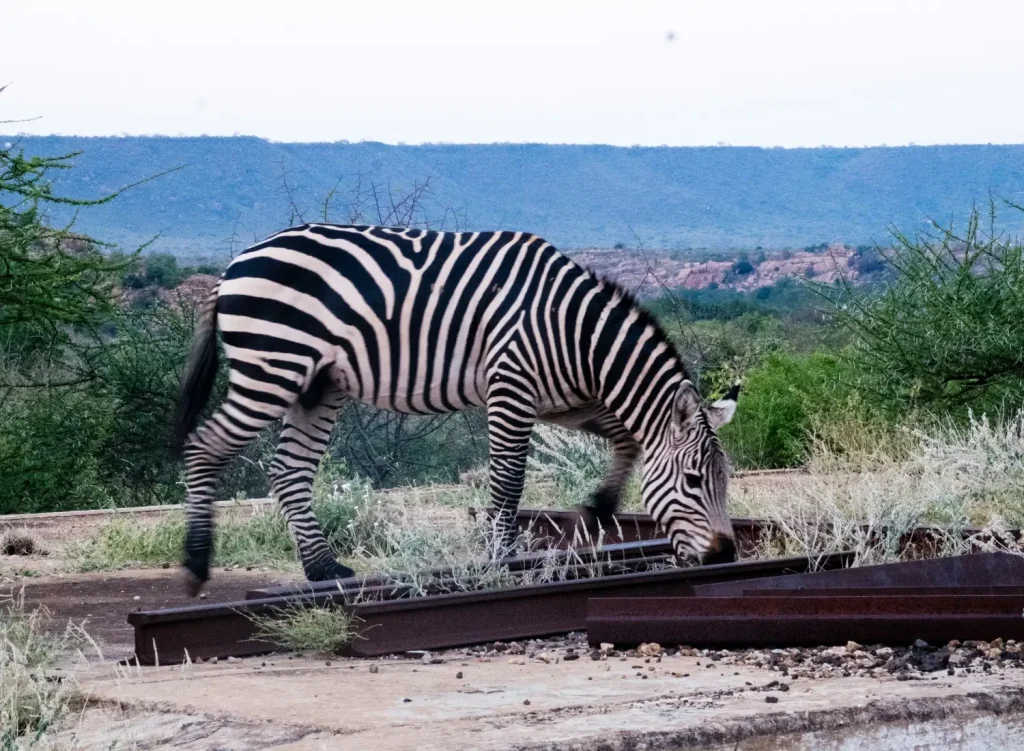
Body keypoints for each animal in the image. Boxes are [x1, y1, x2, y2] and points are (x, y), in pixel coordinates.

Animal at [172, 225, 741, 594]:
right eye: (694, 480)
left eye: (725, 480)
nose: (726, 555)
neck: (577, 336)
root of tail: (230, 269)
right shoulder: (512, 388)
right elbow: (509, 481)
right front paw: (502, 562)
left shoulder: (567, 403)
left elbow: (625, 438)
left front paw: (599, 507)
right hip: (273, 368)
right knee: (204, 447)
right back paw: (197, 565)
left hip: (318, 384)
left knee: (289, 470)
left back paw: (323, 570)